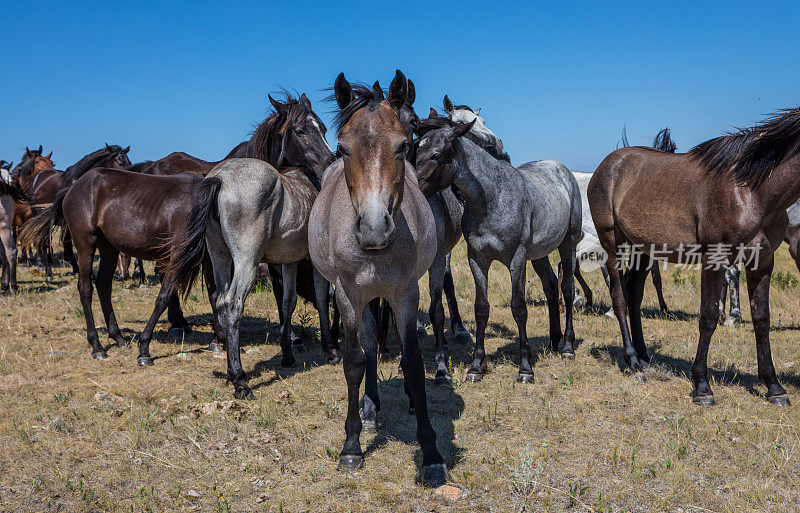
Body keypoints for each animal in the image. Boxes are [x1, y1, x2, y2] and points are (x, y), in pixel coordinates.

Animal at [412, 115, 580, 380]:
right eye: (416, 149)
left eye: (436, 154)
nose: (413, 188)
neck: (492, 200)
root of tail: (562, 170)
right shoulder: (477, 259)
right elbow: (481, 308)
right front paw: (476, 366)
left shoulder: (517, 259)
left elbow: (519, 307)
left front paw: (525, 369)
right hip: (539, 254)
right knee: (551, 286)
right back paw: (554, 341)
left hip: (568, 244)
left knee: (568, 289)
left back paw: (567, 347)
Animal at [584, 109, 800, 408]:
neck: (752, 190)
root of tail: (608, 165)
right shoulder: (714, 259)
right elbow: (708, 317)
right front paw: (702, 386)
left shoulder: (764, 260)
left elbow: (761, 319)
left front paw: (773, 386)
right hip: (611, 242)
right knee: (619, 298)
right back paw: (632, 362)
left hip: (643, 250)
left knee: (634, 295)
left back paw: (643, 356)